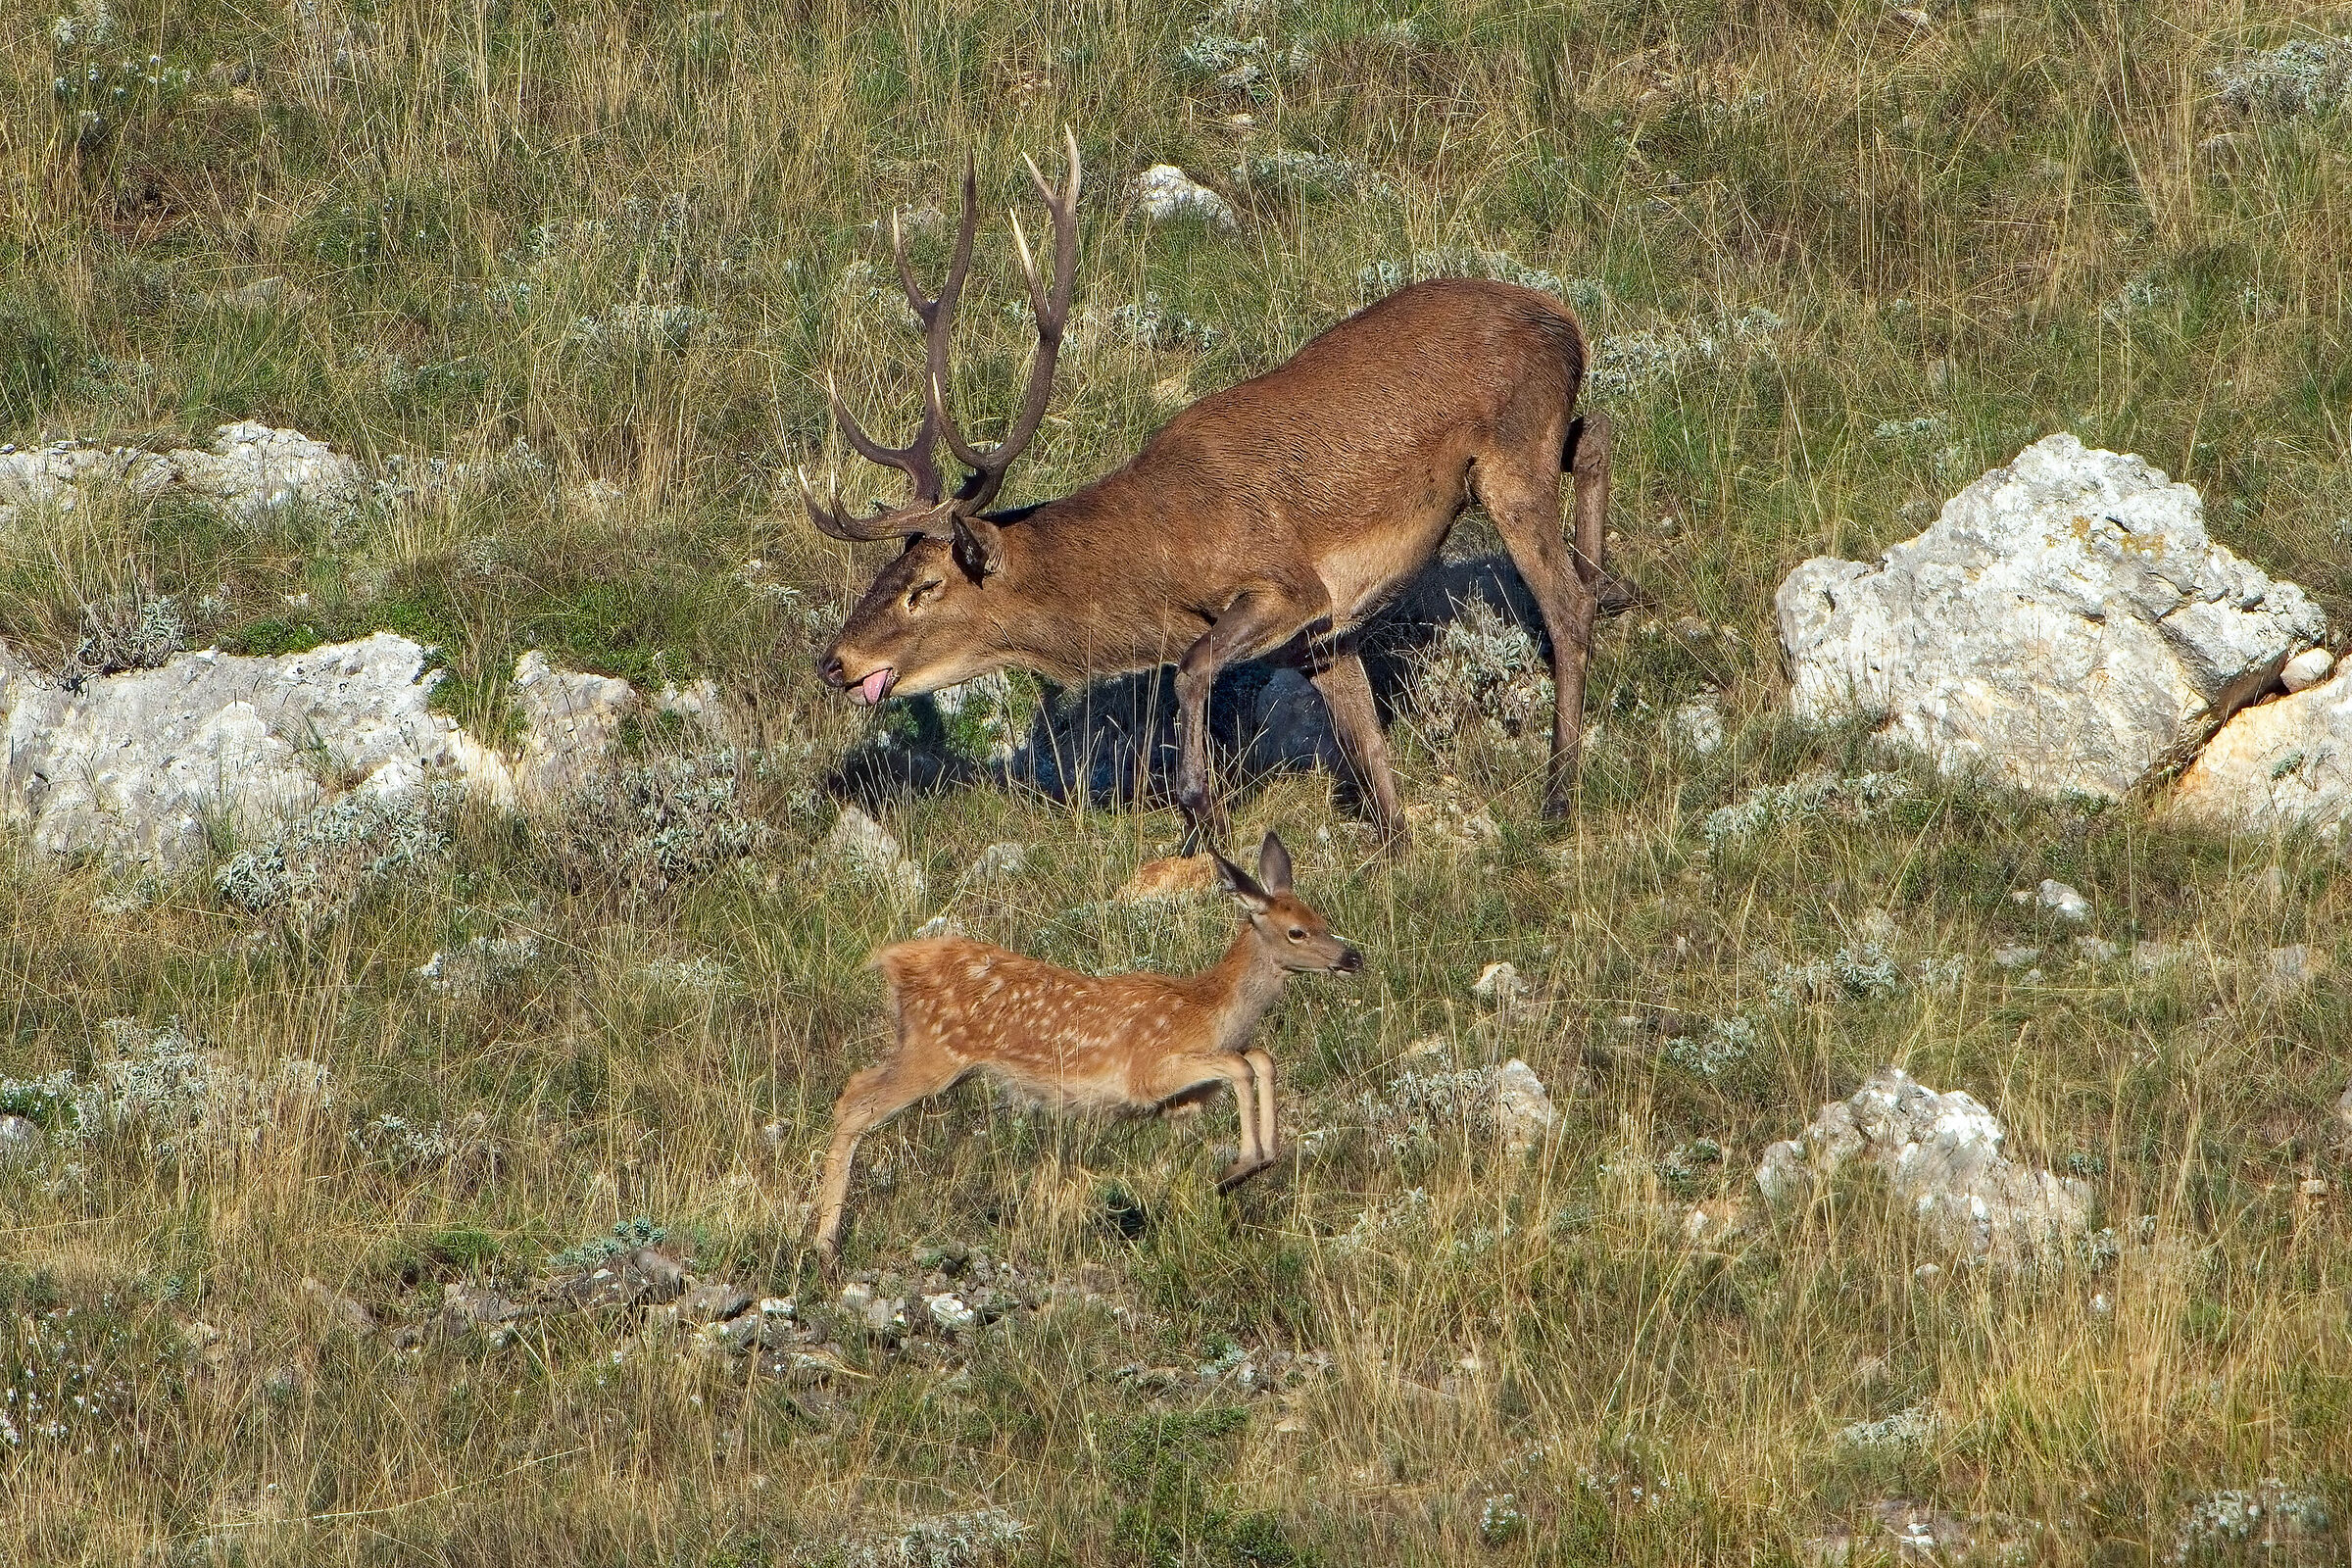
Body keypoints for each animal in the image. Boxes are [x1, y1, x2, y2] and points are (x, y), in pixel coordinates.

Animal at [799, 132, 1613, 853]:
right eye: (889, 570)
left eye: (925, 586)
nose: (834, 661)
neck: (1160, 562)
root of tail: (1569, 321)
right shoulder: (1323, 639)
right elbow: (1372, 761)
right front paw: (1392, 847)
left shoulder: (1291, 584)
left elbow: (1192, 669)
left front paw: (1204, 809)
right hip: (1528, 444)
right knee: (1595, 434)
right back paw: (1615, 581)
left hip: (1509, 456)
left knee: (1564, 606)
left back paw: (1559, 792)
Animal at [810, 830, 1359, 1261]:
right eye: (1297, 931)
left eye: (1322, 917)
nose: (1350, 956)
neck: (1209, 1010)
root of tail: (892, 960)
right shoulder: (1148, 1072)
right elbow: (1242, 1065)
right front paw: (1241, 1166)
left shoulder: (1184, 1096)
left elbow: (1259, 1058)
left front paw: (1259, 1160)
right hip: (934, 1052)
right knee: (855, 1098)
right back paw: (825, 1241)